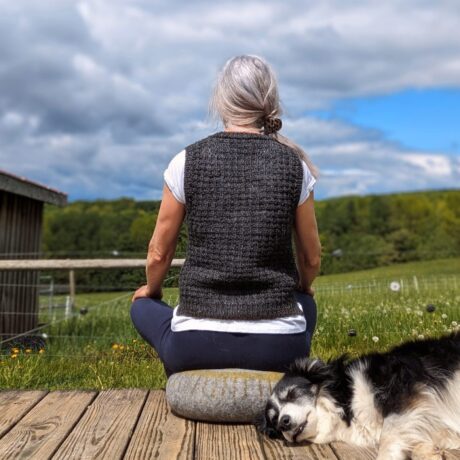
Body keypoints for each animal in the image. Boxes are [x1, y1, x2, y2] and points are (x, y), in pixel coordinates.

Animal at [255, 332, 460, 458]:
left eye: (292, 393)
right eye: (273, 420)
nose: (283, 422)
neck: (346, 401)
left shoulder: (402, 392)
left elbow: (388, 436)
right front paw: (429, 452)